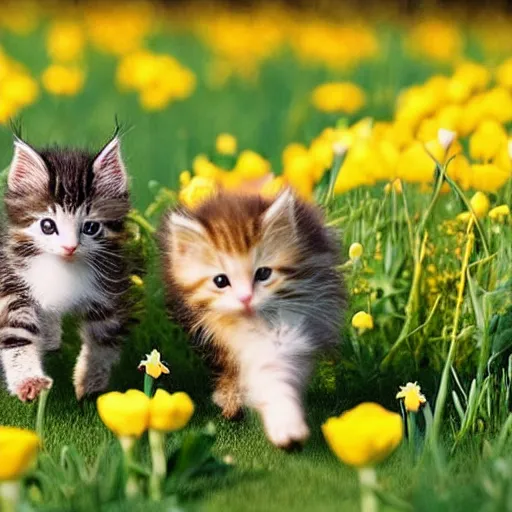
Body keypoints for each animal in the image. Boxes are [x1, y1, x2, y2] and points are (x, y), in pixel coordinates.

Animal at [0, 134, 134, 402]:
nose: (70, 247)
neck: (63, 268)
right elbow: (18, 330)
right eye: (48, 226)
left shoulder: (108, 286)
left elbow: (103, 338)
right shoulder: (13, 280)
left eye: (91, 227)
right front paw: (29, 381)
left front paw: (89, 381)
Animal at [159, 189, 344, 448]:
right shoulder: (209, 325)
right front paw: (232, 399)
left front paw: (285, 422)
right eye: (220, 281)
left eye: (263, 273)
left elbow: (276, 368)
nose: (246, 298)